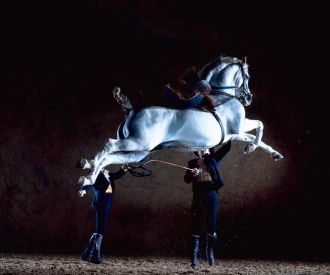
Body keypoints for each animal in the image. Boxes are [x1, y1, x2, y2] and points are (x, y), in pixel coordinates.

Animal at [77, 56, 284, 190]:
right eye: (247, 76)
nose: (249, 98)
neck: (221, 95)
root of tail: (131, 109)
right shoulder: (238, 126)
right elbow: (260, 125)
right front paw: (252, 147)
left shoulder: (234, 133)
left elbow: (254, 135)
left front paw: (272, 153)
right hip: (136, 142)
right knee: (109, 145)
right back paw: (89, 169)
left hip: (138, 153)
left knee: (109, 158)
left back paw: (87, 173)